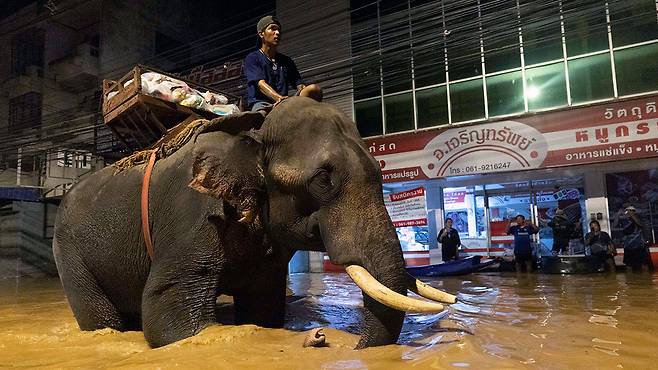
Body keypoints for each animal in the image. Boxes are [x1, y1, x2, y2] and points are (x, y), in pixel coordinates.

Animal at [52, 96, 456, 350]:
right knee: (102, 318)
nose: (327, 340)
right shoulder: (192, 213)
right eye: (323, 179)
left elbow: (263, 307)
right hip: (69, 252)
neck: (255, 127)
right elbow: (170, 319)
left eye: (380, 172)